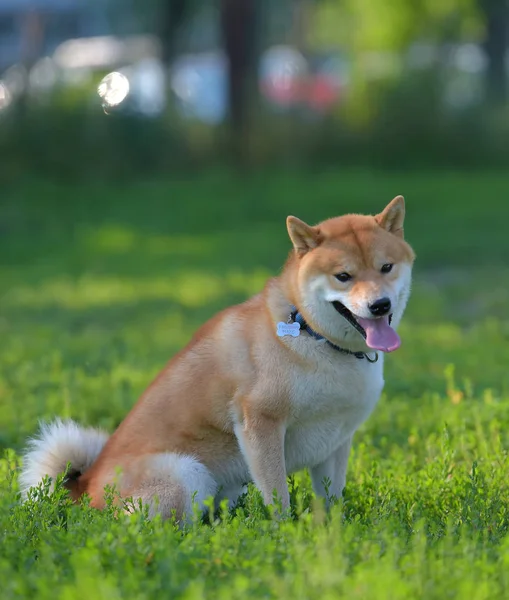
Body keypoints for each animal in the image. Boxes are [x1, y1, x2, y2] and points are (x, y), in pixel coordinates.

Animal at [19, 196, 414, 520]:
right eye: (343, 276)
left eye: (386, 267)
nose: (380, 305)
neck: (313, 335)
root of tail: (83, 488)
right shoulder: (261, 422)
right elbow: (278, 497)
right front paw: (287, 535)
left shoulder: (336, 439)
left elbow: (330, 501)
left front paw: (333, 533)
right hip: (186, 474)